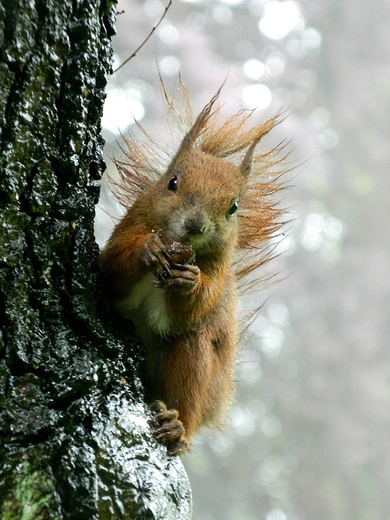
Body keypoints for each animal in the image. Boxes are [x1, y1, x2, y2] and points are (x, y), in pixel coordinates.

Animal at [99, 80, 284, 456]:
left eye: (233, 207)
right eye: (172, 182)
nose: (195, 225)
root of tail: (218, 403)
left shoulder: (217, 271)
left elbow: (190, 308)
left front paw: (188, 280)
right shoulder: (129, 227)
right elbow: (112, 270)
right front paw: (147, 249)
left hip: (197, 367)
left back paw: (176, 426)